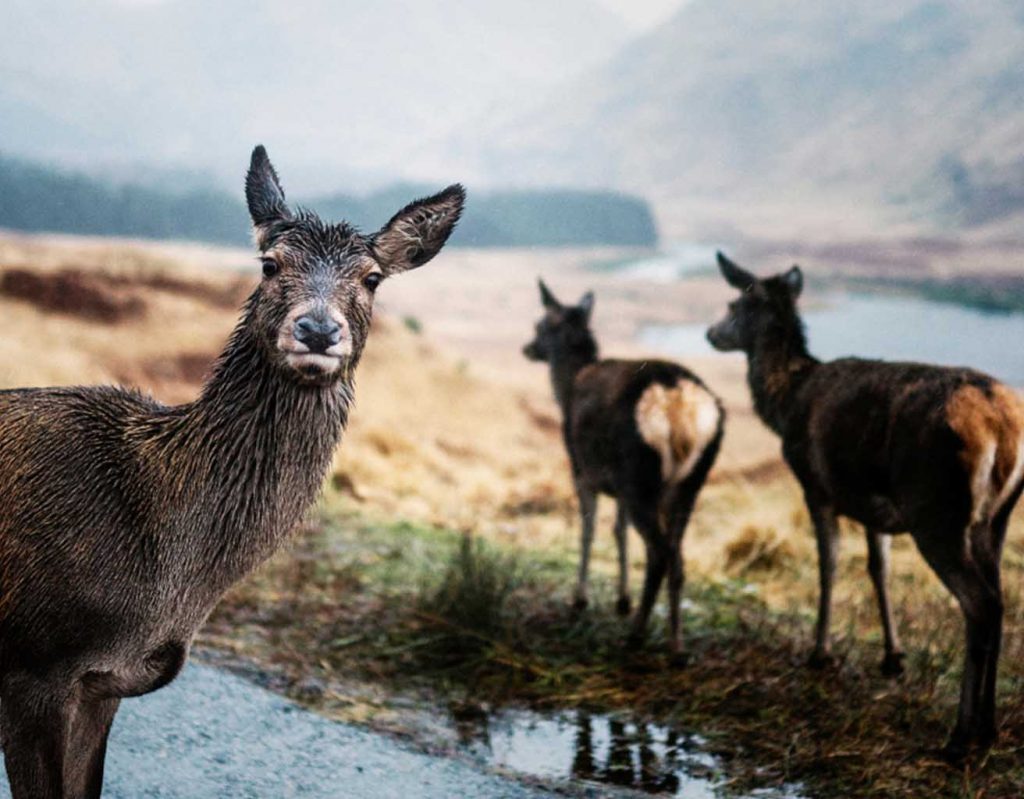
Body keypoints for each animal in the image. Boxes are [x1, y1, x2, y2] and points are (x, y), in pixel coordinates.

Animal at [523, 280, 724, 659]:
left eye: (539, 325)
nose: (527, 348)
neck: (568, 387)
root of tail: (679, 404)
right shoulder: (616, 483)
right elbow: (619, 530)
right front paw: (622, 600)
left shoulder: (581, 470)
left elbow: (588, 529)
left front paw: (581, 599)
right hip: (689, 482)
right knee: (677, 558)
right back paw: (676, 646)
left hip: (640, 476)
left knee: (660, 553)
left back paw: (635, 635)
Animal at [707, 252, 1024, 760]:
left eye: (734, 303)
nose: (711, 333)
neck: (785, 404)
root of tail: (1001, 427)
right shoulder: (875, 508)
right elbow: (880, 569)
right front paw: (893, 658)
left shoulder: (816, 486)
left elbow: (829, 565)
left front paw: (820, 653)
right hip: (995, 519)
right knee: (999, 598)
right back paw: (989, 728)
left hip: (936, 509)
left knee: (980, 604)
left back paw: (959, 737)